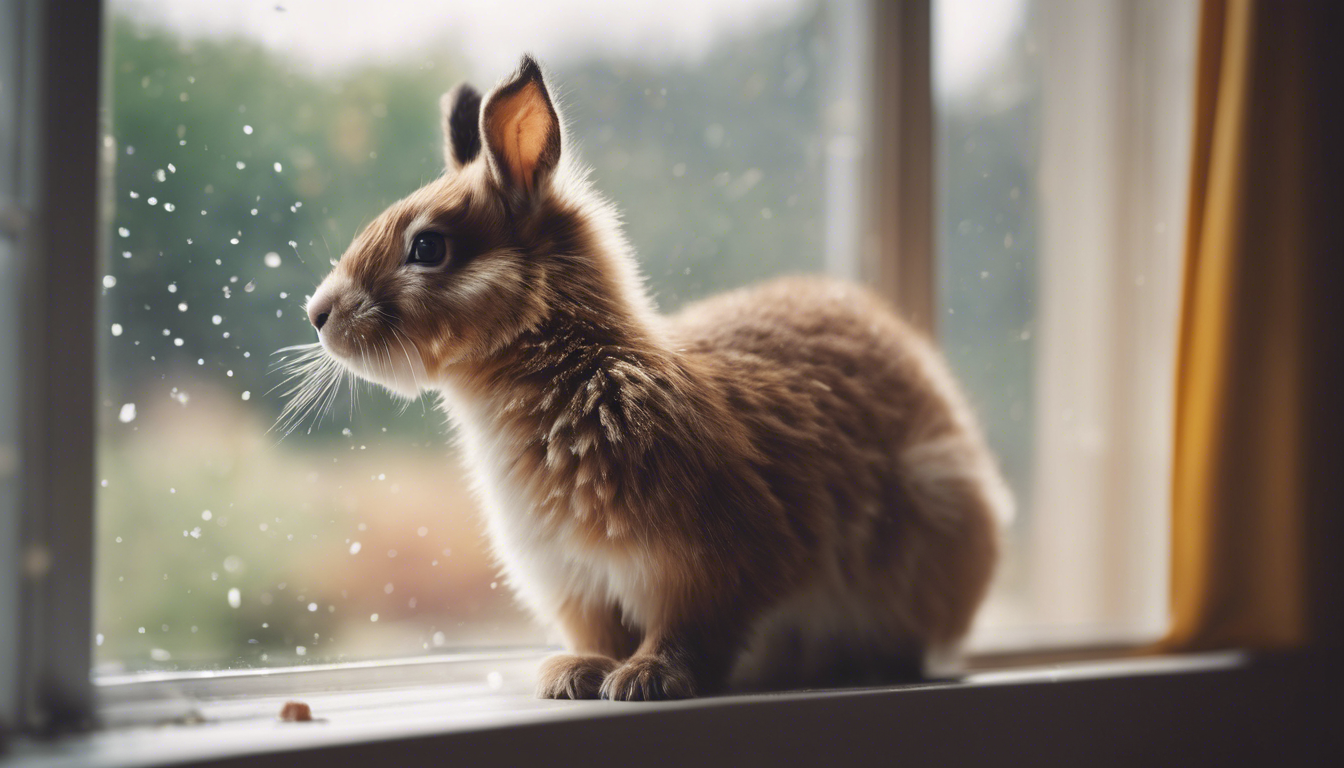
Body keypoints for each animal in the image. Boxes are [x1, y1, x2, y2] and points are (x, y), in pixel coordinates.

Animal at [294, 55, 1010, 704]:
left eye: (428, 248)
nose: (318, 314)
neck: (573, 360)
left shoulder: (708, 569)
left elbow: (687, 633)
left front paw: (644, 680)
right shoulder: (579, 582)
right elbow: (599, 634)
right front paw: (576, 675)